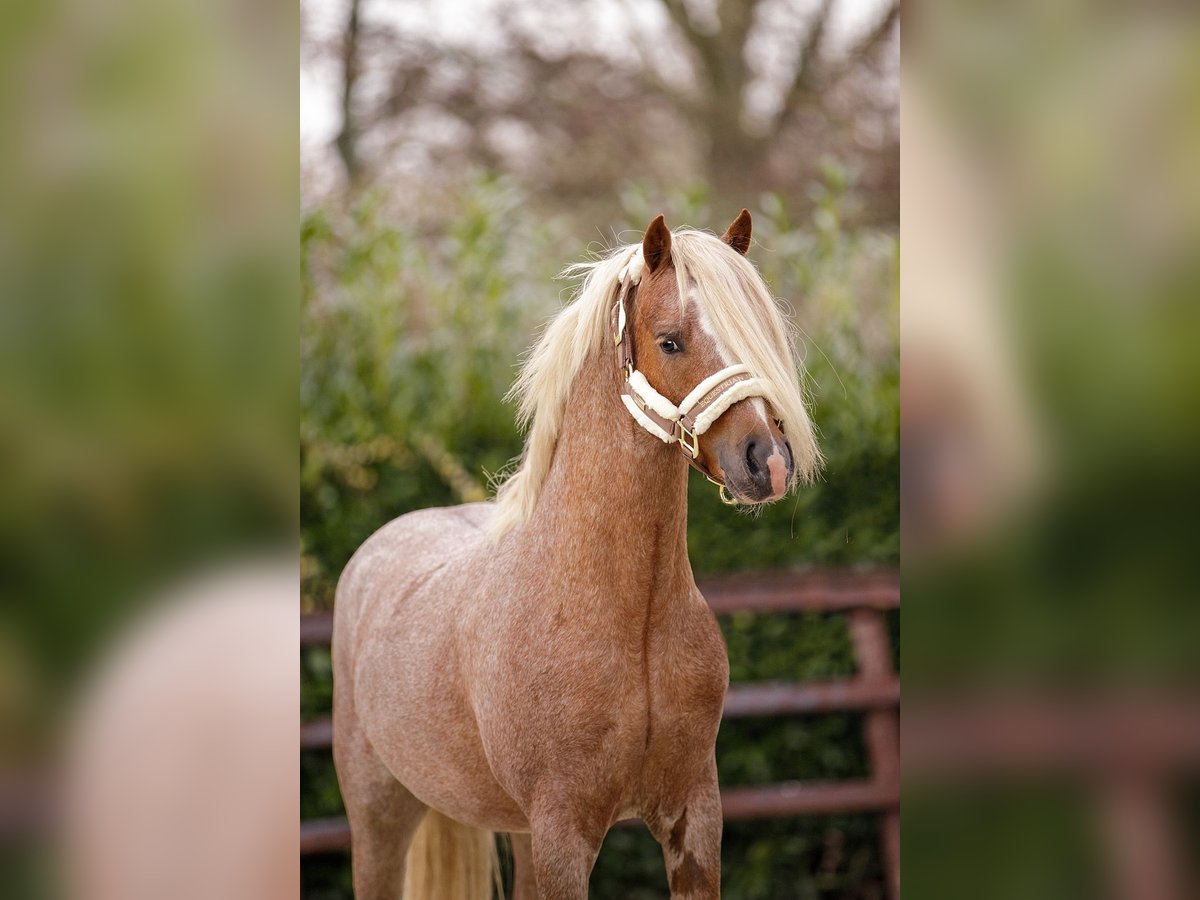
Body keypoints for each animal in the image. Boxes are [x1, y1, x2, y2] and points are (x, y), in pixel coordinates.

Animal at [333, 207, 820, 897]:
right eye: (670, 341)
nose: (768, 462)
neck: (627, 616)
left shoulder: (693, 819)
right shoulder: (563, 834)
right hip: (380, 818)